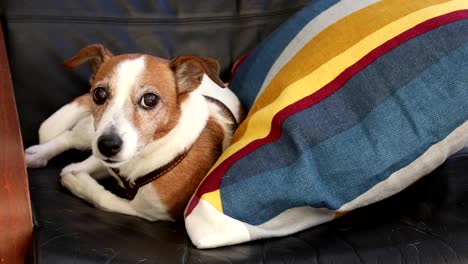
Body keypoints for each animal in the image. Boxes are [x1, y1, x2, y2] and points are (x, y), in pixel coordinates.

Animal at [24, 44, 245, 221]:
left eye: (150, 99)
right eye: (99, 94)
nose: (107, 145)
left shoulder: (145, 211)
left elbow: (104, 198)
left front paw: (77, 180)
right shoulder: (106, 157)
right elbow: (89, 161)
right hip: (90, 130)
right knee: (69, 136)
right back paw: (36, 154)